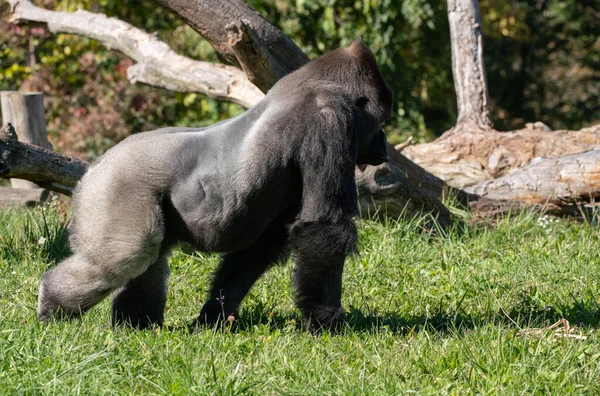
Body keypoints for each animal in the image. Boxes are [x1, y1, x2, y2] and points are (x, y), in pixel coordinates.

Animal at [36, 40, 394, 332]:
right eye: (381, 121)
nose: (384, 144)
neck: (320, 84)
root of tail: (95, 167)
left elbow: (259, 249)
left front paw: (214, 316)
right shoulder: (329, 120)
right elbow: (323, 229)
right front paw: (325, 321)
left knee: (147, 254)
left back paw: (135, 325)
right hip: (114, 186)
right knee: (124, 256)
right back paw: (53, 307)